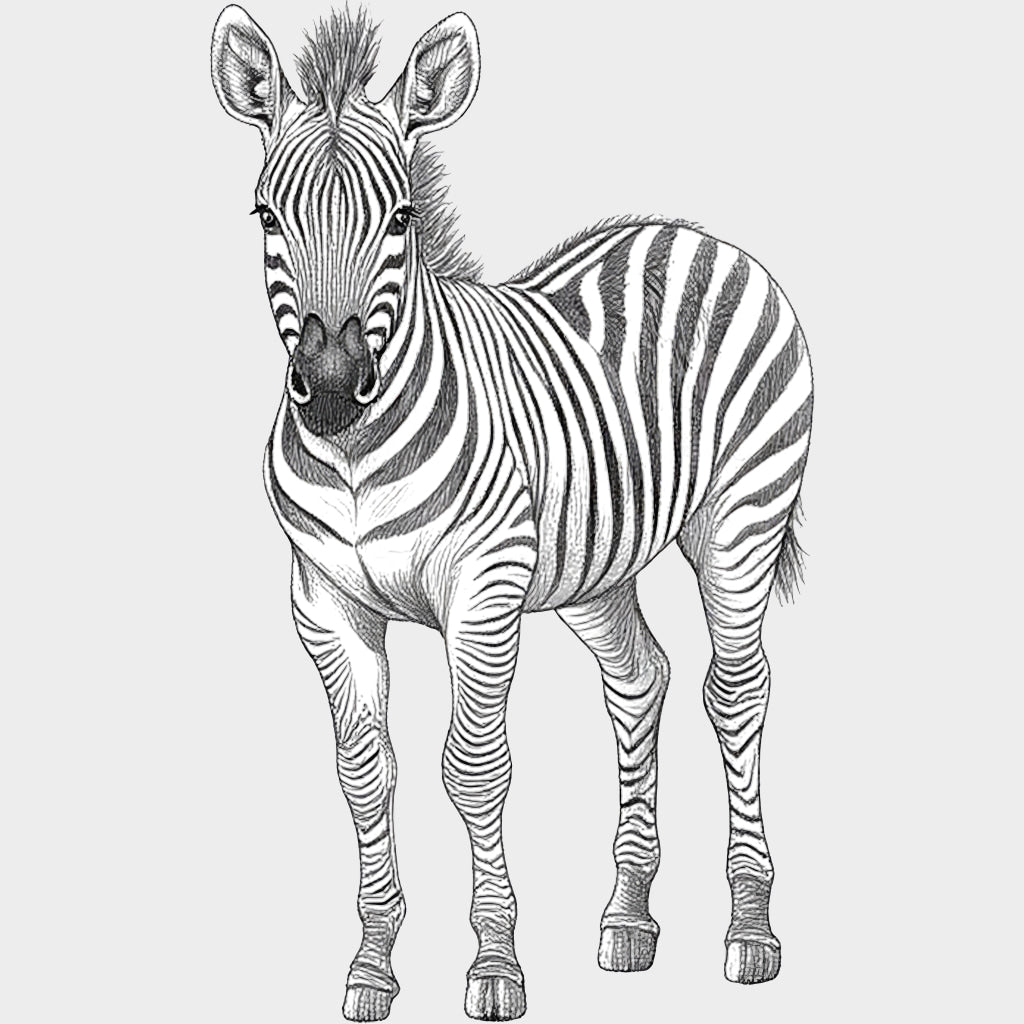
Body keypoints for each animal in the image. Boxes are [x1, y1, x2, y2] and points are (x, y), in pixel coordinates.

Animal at [211, 6, 813, 1021]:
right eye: (266, 216)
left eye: (402, 218)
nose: (330, 390)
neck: (357, 457)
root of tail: (686, 234)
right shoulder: (325, 603)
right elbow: (365, 776)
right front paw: (371, 968)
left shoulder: (482, 592)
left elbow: (473, 766)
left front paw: (494, 965)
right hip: (595, 563)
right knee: (641, 678)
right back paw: (628, 919)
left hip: (741, 518)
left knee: (736, 691)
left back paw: (750, 930)